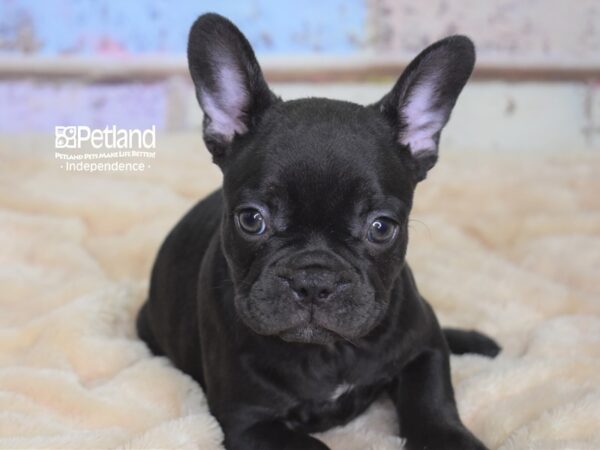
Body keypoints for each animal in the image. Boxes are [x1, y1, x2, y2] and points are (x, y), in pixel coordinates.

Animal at [138, 13, 500, 450]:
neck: (330, 352)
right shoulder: (248, 422)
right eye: (251, 220)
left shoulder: (425, 348)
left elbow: (432, 401)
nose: (313, 280)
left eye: (381, 227)